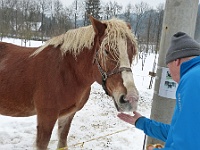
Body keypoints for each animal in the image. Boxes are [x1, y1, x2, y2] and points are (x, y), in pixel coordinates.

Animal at [0, 15, 139, 149]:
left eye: (133, 51)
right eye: (106, 50)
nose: (130, 98)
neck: (66, 72)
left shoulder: (68, 115)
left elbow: (62, 143)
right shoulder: (46, 118)